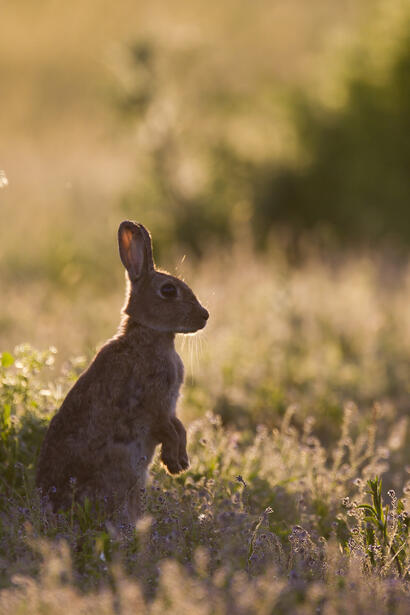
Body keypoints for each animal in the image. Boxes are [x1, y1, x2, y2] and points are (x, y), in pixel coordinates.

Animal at [35, 221, 210, 524]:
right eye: (168, 290)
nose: (205, 316)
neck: (149, 335)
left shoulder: (170, 408)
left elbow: (179, 426)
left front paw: (182, 461)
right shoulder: (154, 404)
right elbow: (168, 428)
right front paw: (175, 463)